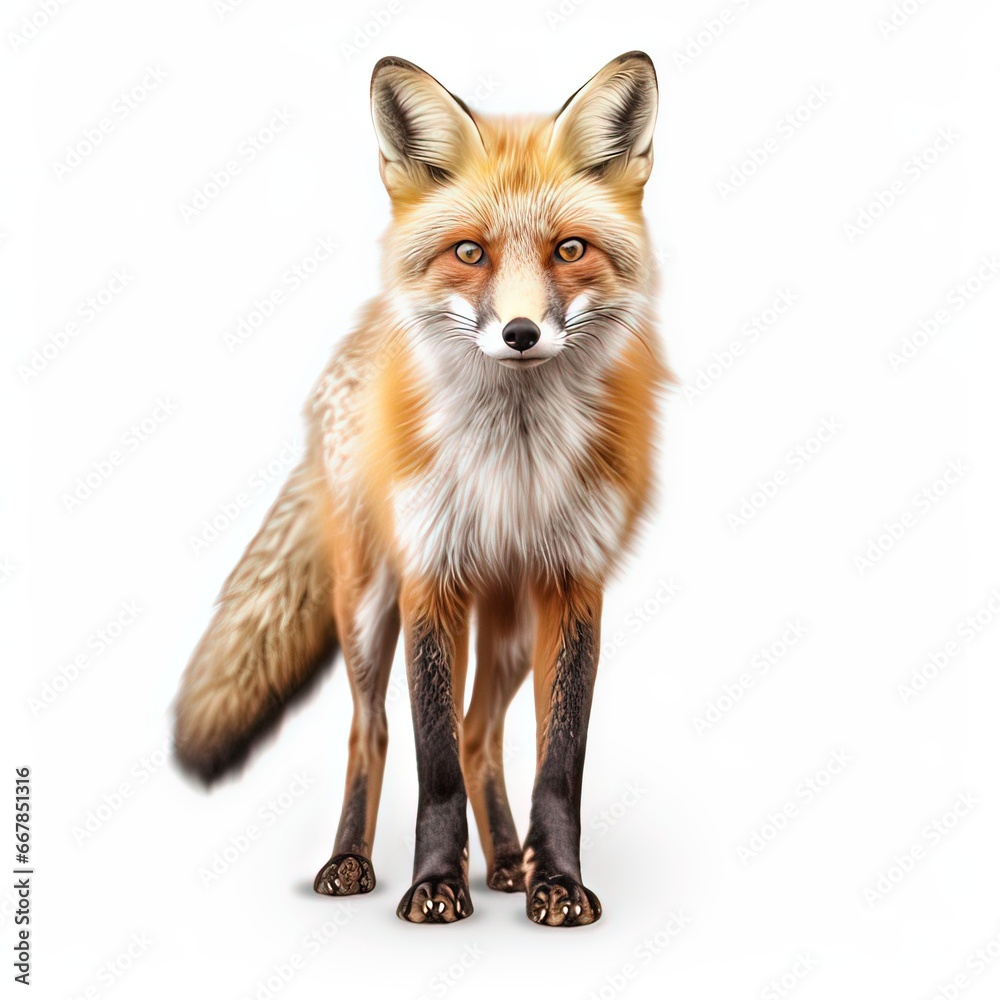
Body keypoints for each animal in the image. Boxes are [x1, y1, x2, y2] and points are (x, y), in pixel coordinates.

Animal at [173, 50, 669, 926]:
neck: (512, 463)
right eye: (469, 253)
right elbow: (431, 760)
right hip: (369, 605)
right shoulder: (429, 575)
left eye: (570, 249)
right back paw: (351, 861)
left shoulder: (573, 581)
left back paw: (507, 862)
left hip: (510, 626)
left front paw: (557, 882)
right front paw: (434, 884)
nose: (519, 334)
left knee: (482, 735)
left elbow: (558, 763)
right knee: (369, 731)